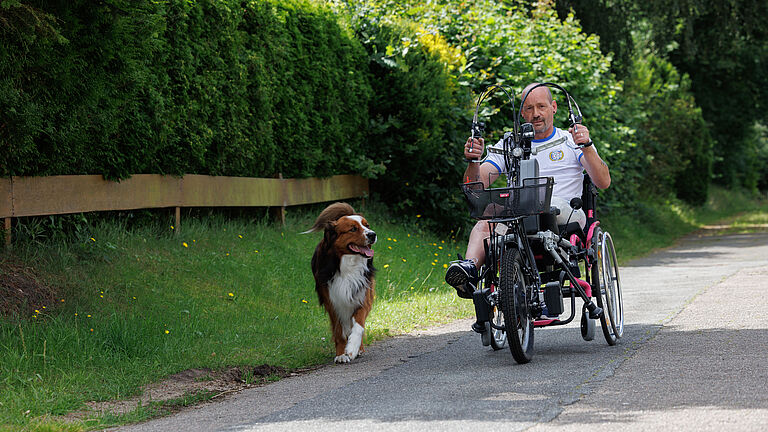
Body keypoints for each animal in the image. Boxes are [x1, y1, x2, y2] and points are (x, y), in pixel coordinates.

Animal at [306, 203, 378, 364]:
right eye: (353, 229)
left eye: (367, 225)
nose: (372, 234)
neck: (348, 266)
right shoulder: (332, 301)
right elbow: (339, 331)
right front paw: (340, 354)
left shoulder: (362, 296)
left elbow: (358, 325)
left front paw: (352, 348)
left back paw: (359, 349)